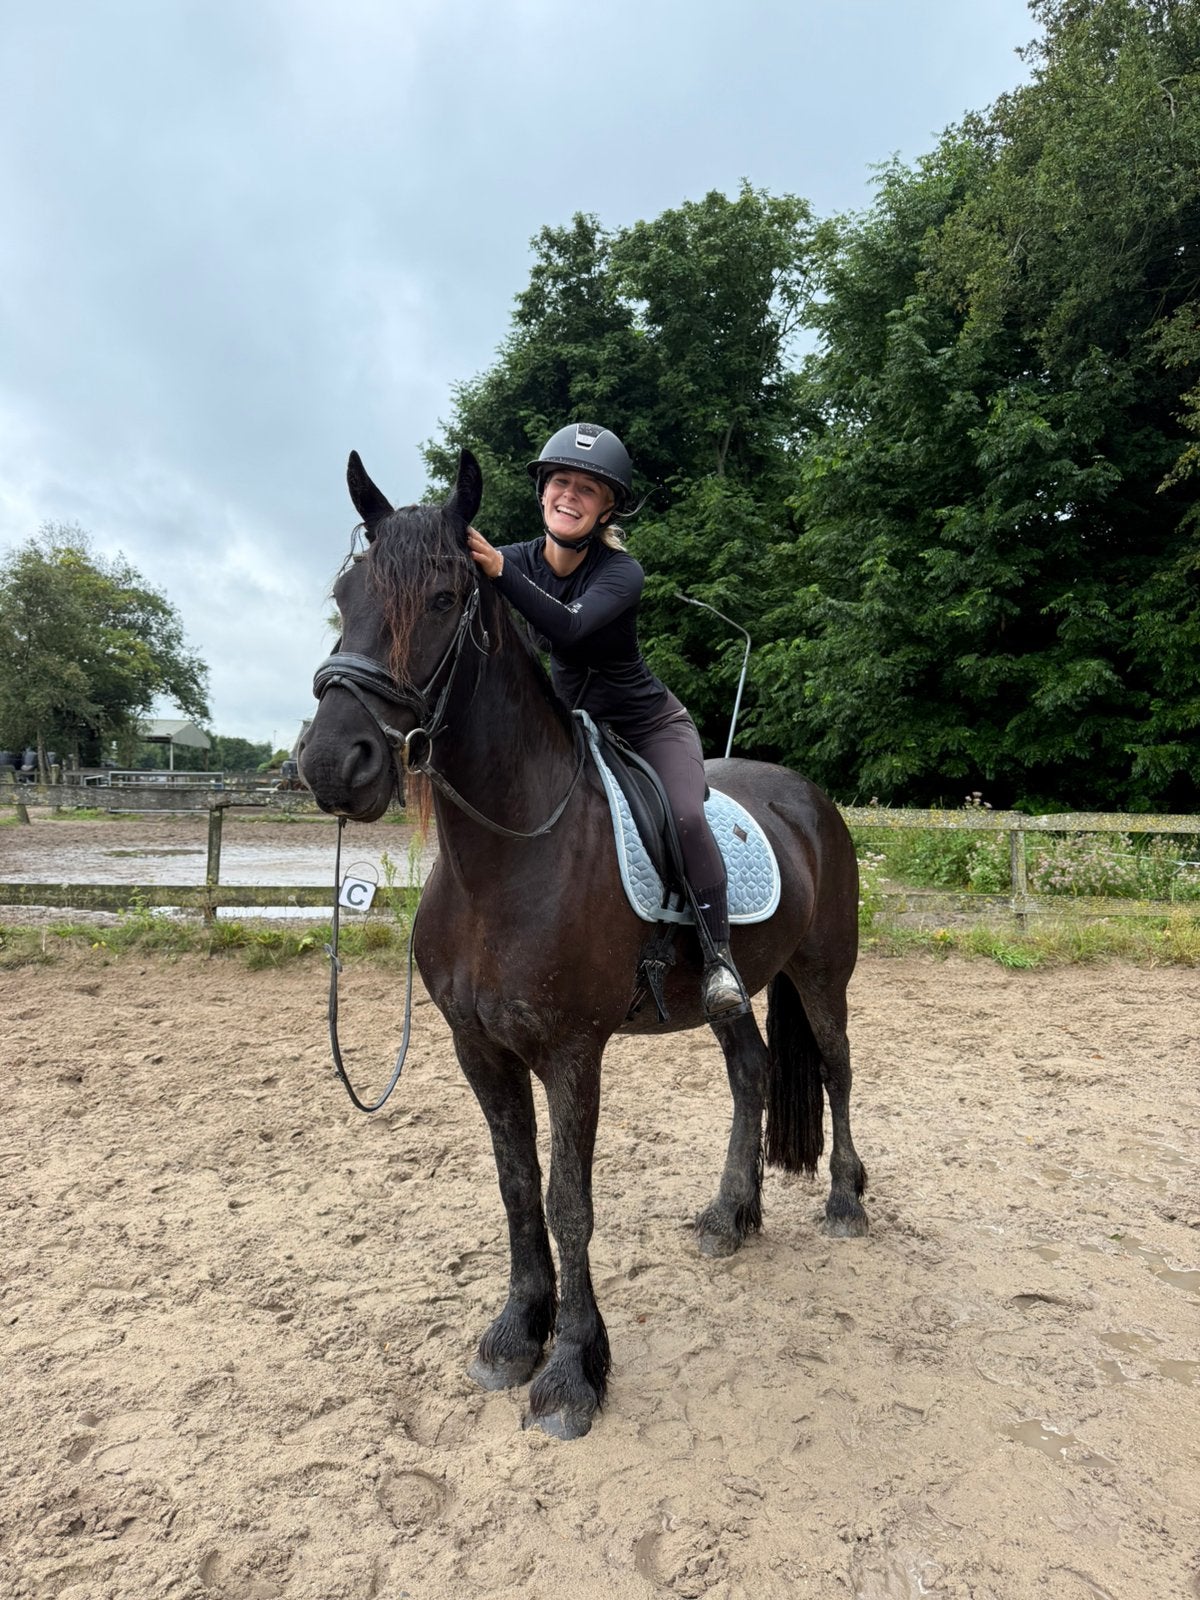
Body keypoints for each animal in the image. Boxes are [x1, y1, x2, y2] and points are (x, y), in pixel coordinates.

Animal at [298, 448, 868, 1440]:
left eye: (444, 597)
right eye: (344, 593)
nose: (336, 764)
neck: (509, 855)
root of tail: (810, 797)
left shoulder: (571, 1053)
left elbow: (570, 1202)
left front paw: (571, 1370)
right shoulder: (479, 1049)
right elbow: (517, 1187)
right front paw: (514, 1335)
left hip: (823, 972)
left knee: (835, 1068)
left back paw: (843, 1199)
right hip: (734, 993)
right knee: (753, 1073)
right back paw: (731, 1215)